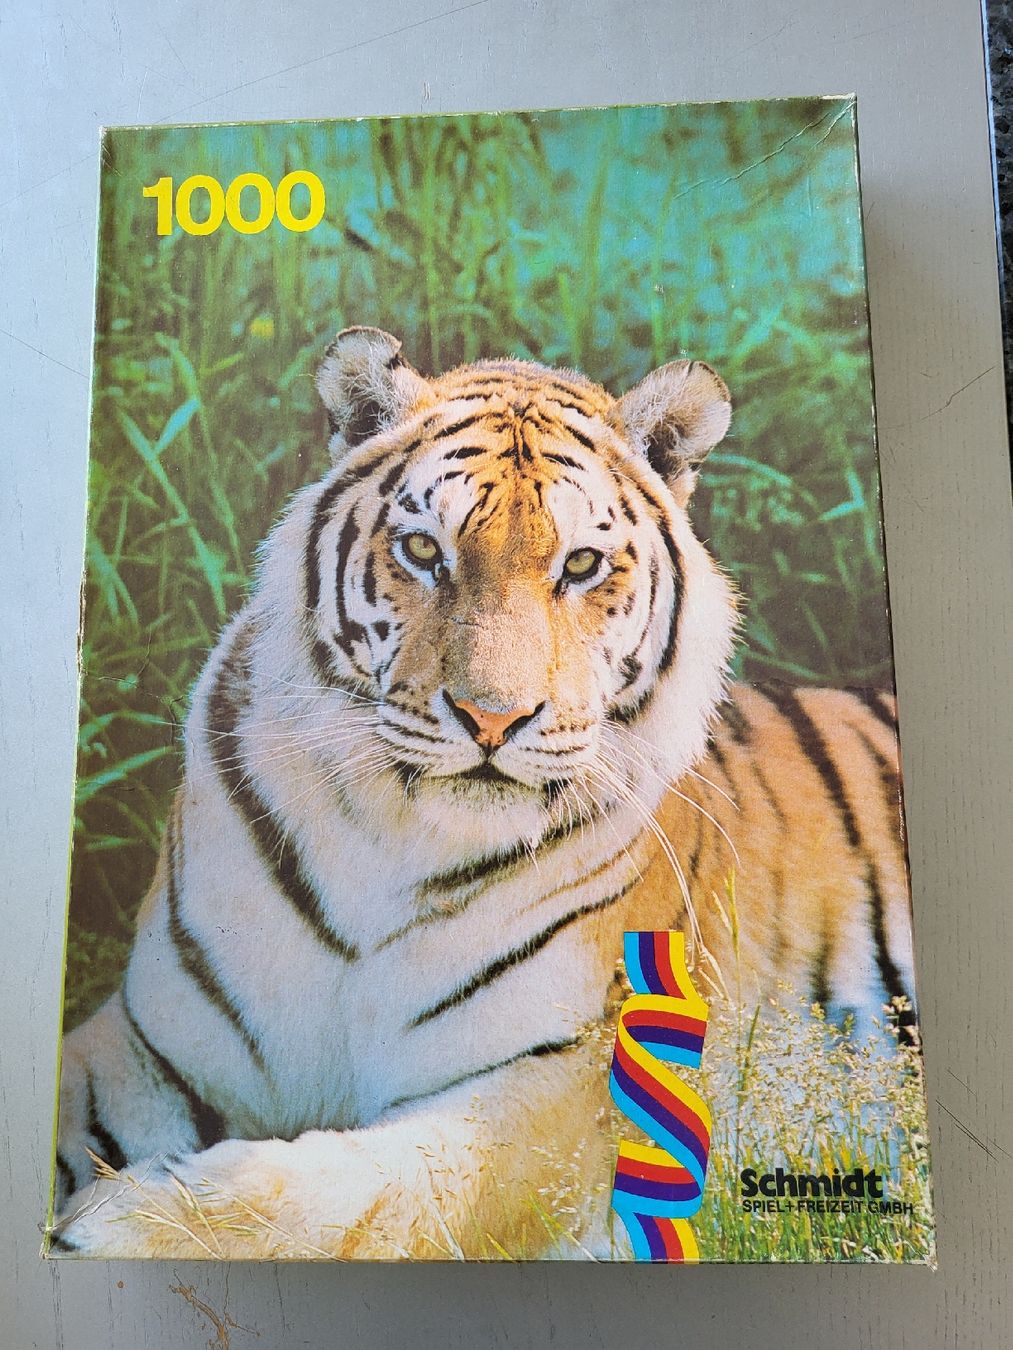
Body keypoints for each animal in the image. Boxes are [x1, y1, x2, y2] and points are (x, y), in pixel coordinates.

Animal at [48, 326, 917, 1260]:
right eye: (425, 551)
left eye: (580, 565)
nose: (492, 718)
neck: (388, 845)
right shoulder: (144, 1046)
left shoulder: (564, 1103)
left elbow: (354, 1193)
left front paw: (122, 1226)